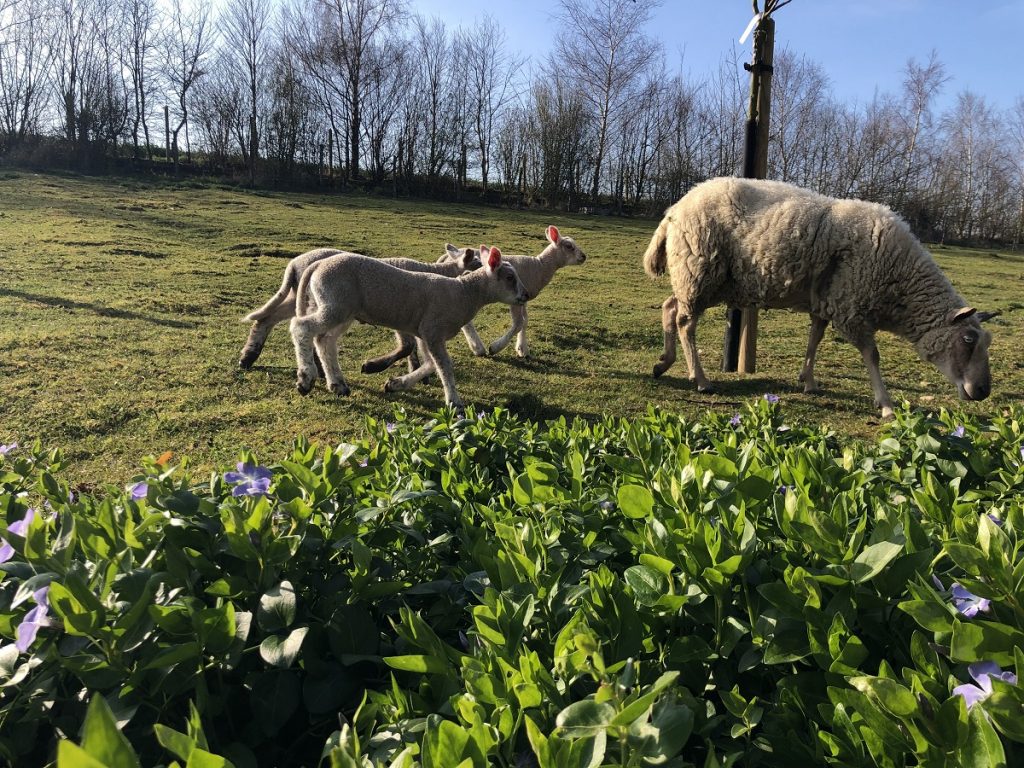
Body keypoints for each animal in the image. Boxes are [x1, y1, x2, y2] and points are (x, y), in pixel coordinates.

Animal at [237, 244, 485, 368]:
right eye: (478, 263)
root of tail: (294, 264)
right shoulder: (402, 312)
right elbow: (407, 347)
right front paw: (374, 366)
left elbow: (411, 347)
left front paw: (414, 369)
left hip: (300, 298)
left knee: (267, 318)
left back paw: (248, 358)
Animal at [288, 247, 528, 411]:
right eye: (510, 278)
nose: (525, 295)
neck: (465, 292)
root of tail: (316, 266)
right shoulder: (433, 330)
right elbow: (444, 366)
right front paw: (455, 402)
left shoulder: (425, 332)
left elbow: (430, 364)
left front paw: (396, 384)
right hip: (335, 304)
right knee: (301, 327)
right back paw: (306, 378)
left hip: (340, 309)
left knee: (324, 341)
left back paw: (337, 384)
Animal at [643, 179, 995, 421]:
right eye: (967, 340)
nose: (983, 392)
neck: (899, 283)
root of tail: (674, 210)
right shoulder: (850, 308)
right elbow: (872, 355)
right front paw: (885, 405)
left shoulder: (827, 301)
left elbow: (815, 337)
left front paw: (808, 380)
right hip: (700, 271)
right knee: (686, 322)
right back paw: (700, 379)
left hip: (702, 278)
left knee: (670, 307)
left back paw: (664, 362)